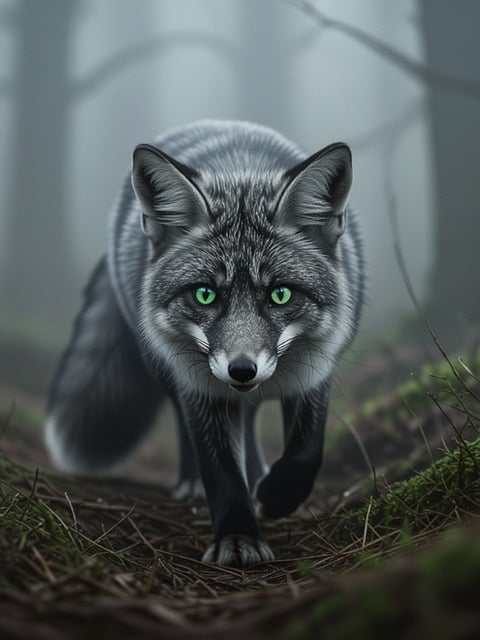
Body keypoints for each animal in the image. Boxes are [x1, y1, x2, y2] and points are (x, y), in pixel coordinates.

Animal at [45, 120, 364, 567]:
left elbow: (306, 453)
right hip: (166, 367)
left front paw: (277, 496)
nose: (242, 369)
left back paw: (259, 475)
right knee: (189, 426)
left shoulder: (314, 370)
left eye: (280, 294)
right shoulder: (201, 387)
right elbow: (223, 474)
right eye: (205, 295)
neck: (242, 170)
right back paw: (196, 481)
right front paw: (238, 536)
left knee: (250, 424)